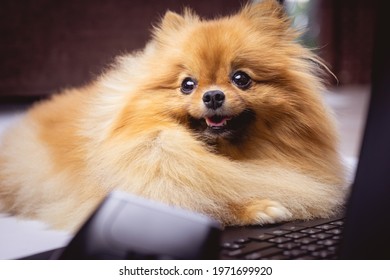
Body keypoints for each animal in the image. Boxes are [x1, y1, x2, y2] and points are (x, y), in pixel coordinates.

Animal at [0, 0, 348, 232]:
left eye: (241, 79)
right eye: (187, 85)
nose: (212, 95)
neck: (221, 156)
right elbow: (195, 204)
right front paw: (259, 207)